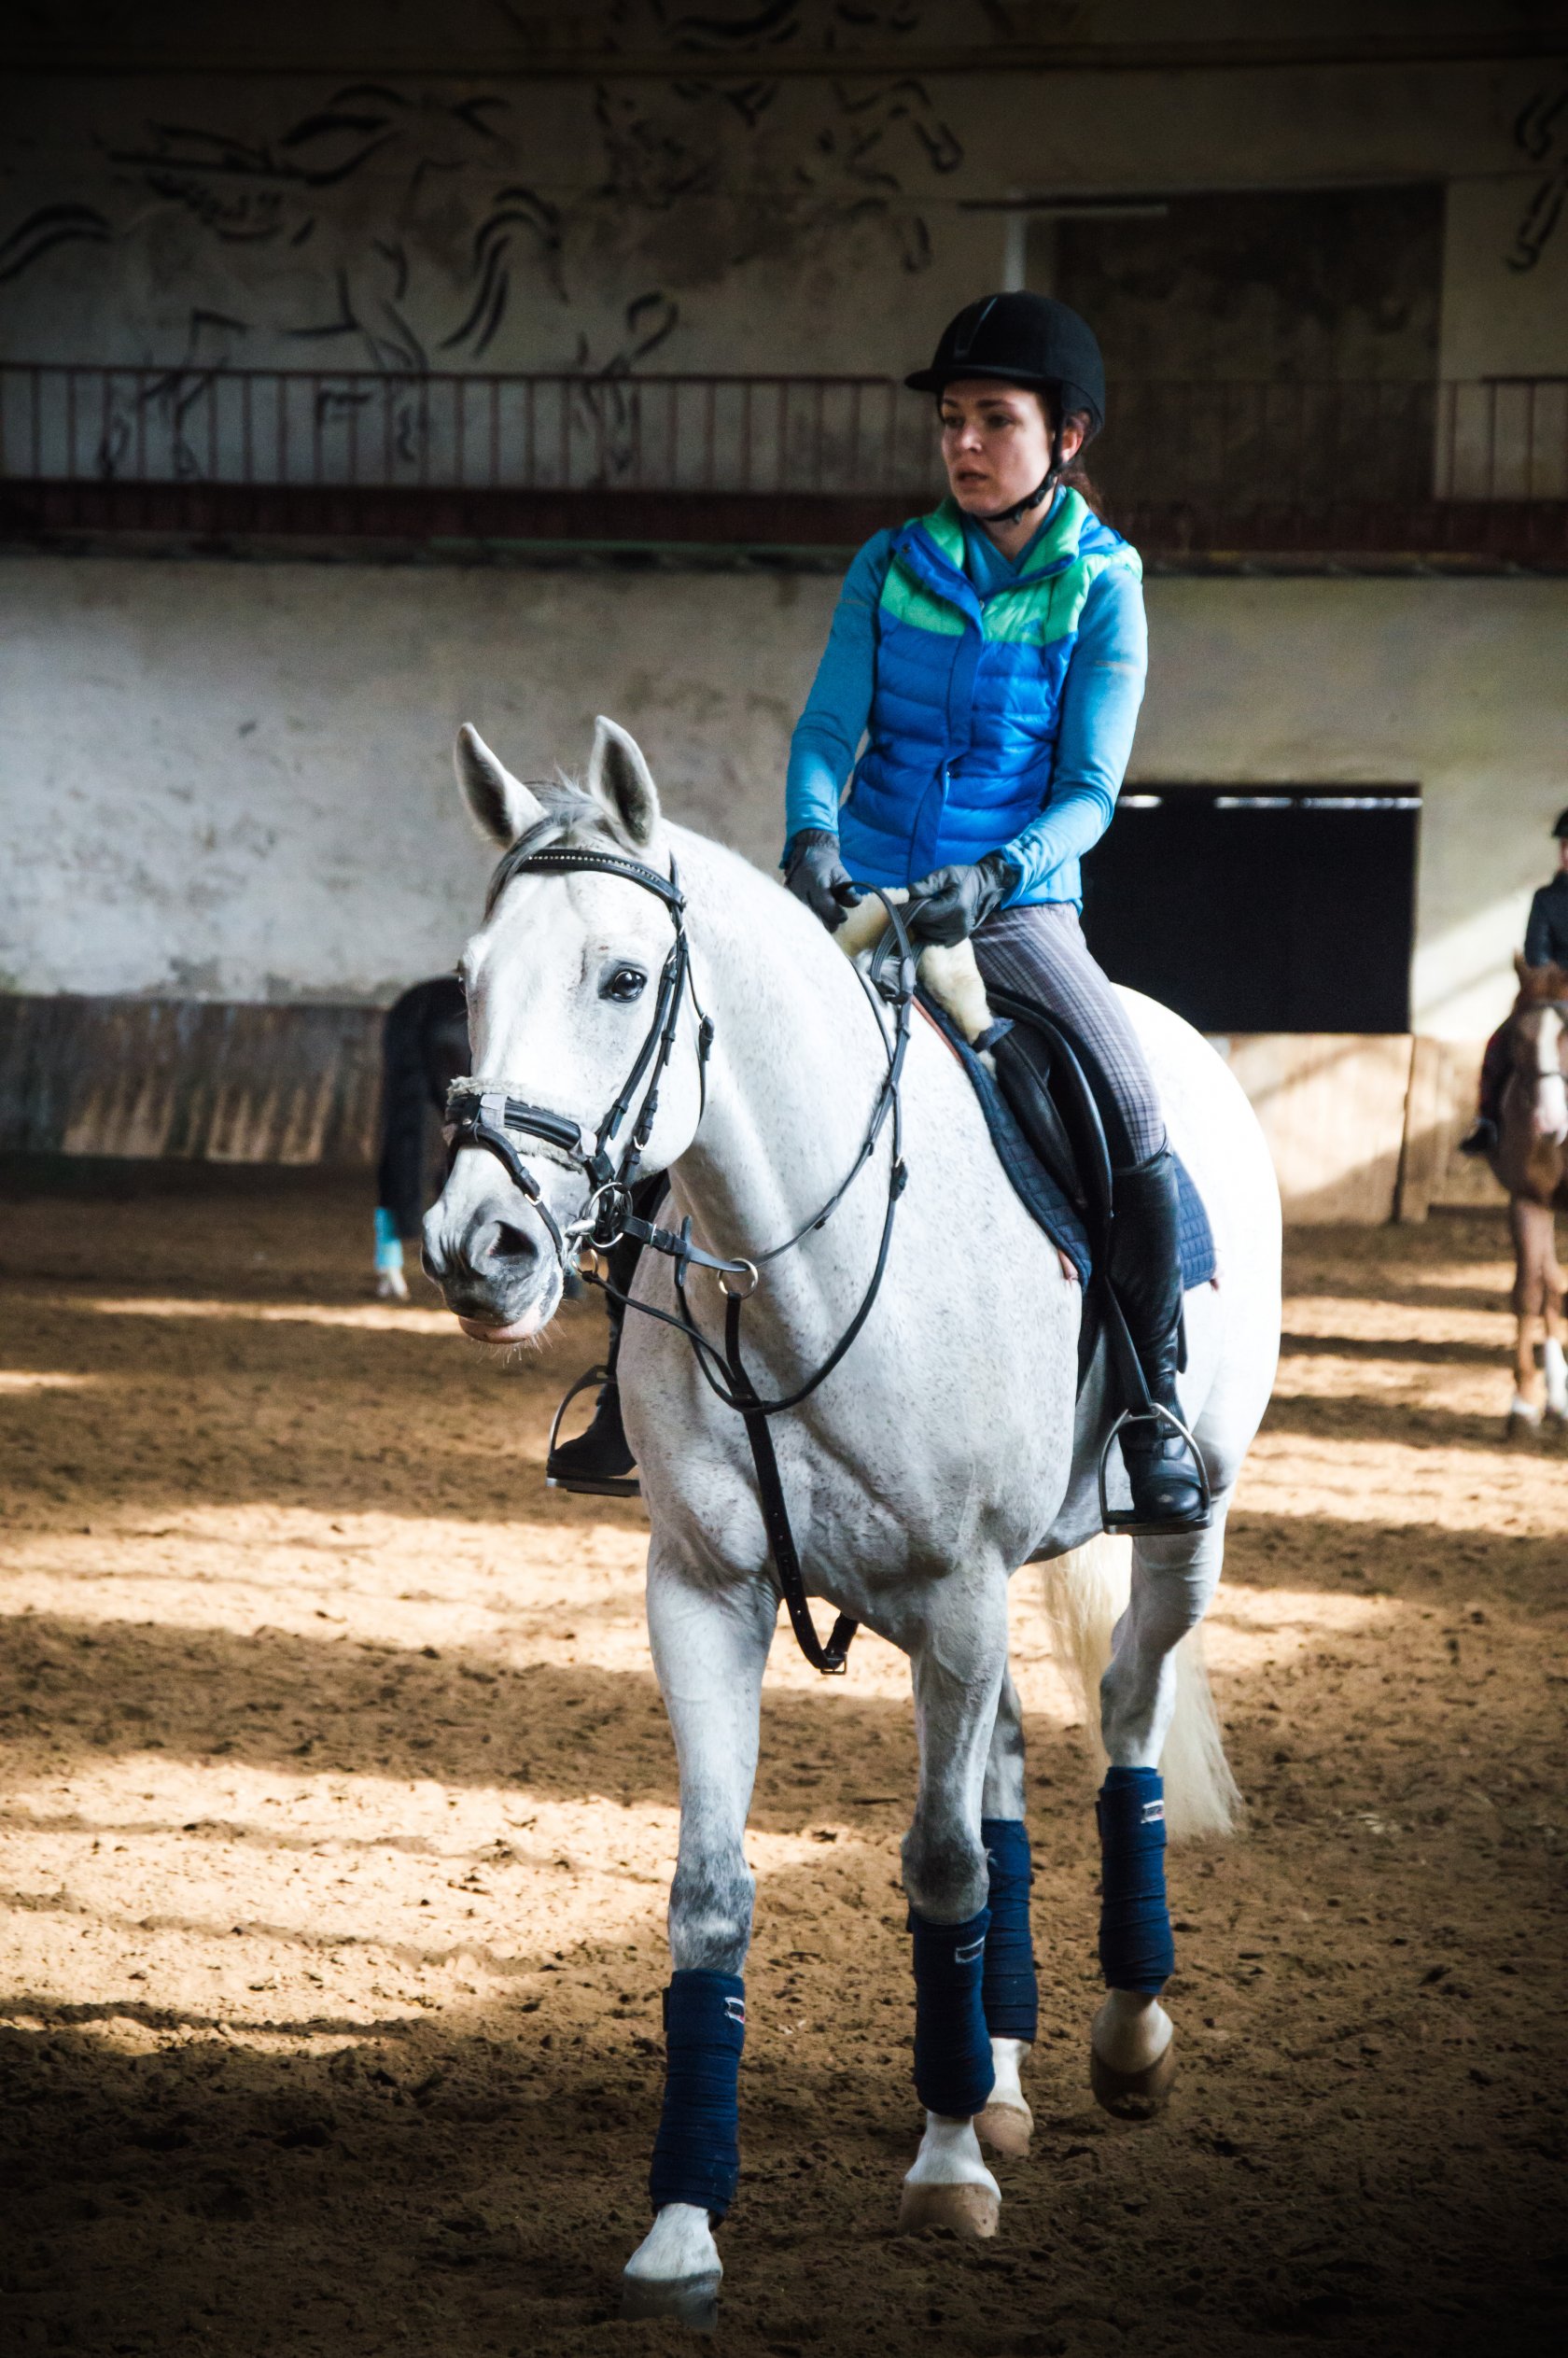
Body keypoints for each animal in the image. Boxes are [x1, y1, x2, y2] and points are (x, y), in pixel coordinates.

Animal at [422, 711, 1282, 2320]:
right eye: (470, 976)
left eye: (623, 978)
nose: (478, 1245)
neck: (792, 1259)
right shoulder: (706, 1592)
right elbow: (713, 1893)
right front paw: (684, 2222)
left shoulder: (958, 1586)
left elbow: (938, 1869)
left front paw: (946, 2172)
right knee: (1006, 1768)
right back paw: (996, 2069)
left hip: (1174, 1528)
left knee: (1125, 1714)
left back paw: (1123, 2036)